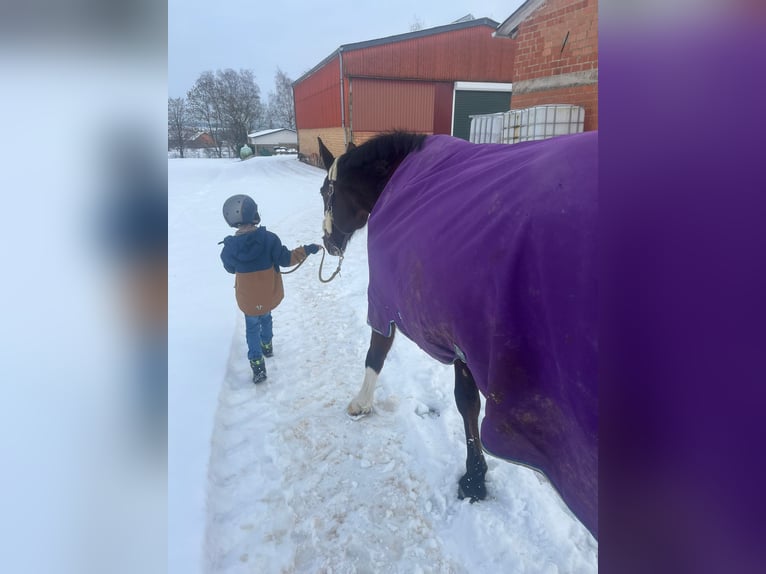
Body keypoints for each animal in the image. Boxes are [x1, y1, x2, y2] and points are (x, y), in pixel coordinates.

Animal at [317, 131, 598, 538]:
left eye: (325, 192)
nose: (327, 243)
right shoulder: (461, 335)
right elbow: (468, 404)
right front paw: (477, 477)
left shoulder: (398, 307)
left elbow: (381, 356)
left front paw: (362, 403)